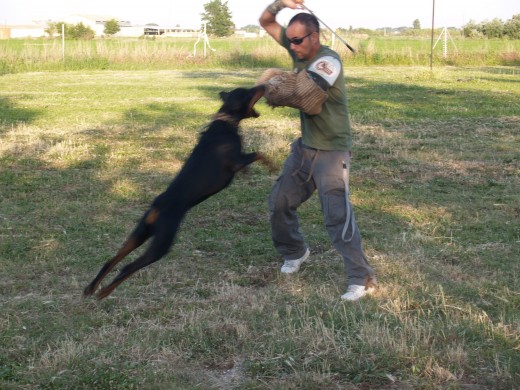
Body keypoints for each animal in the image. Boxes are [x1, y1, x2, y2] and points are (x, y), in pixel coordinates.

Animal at [84, 84, 272, 298]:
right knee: (128, 267)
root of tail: (158, 207)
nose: (264, 85)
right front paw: (273, 166)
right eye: (249, 92)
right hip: (162, 243)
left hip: (140, 233)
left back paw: (92, 288)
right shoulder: (236, 162)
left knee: (112, 259)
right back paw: (103, 293)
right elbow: (260, 154)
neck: (225, 123)